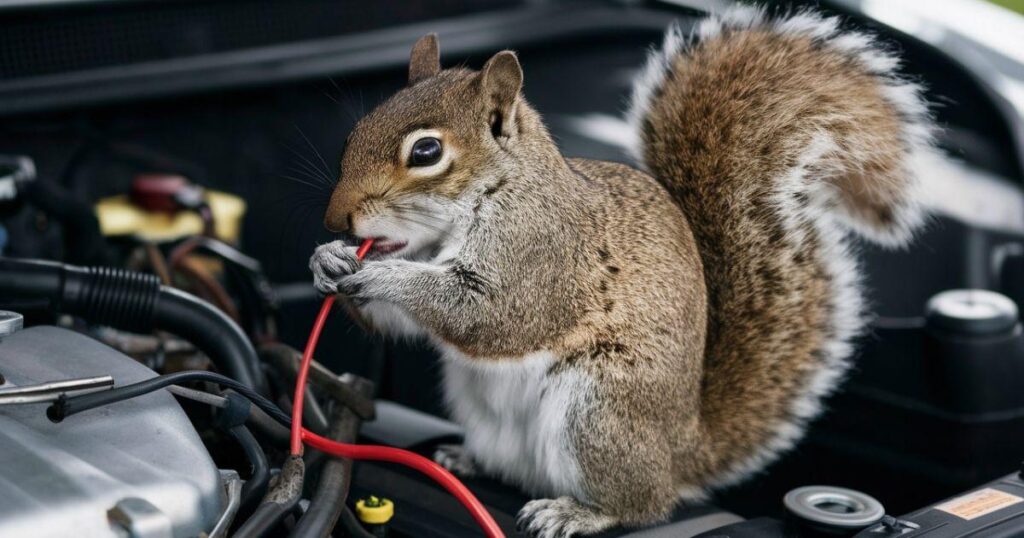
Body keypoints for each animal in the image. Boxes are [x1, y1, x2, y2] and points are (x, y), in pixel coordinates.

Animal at [309, 6, 937, 532]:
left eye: (426, 152)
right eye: (357, 129)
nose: (335, 217)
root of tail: (683, 451)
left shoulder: (544, 254)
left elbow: (492, 315)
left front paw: (383, 276)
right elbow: (406, 324)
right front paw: (329, 260)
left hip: (601, 411)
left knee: (641, 506)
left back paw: (577, 513)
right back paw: (466, 458)